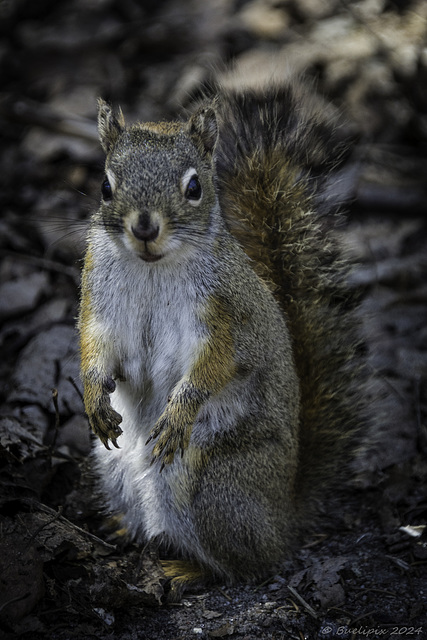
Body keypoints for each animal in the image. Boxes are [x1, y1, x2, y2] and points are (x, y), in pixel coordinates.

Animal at [79, 77, 368, 596]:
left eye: (194, 187)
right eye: (106, 186)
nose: (145, 227)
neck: (153, 268)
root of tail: (283, 517)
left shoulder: (225, 316)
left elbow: (215, 365)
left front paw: (180, 411)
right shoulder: (99, 299)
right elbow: (94, 345)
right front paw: (94, 397)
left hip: (208, 486)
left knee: (250, 565)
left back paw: (187, 569)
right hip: (114, 472)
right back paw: (122, 527)